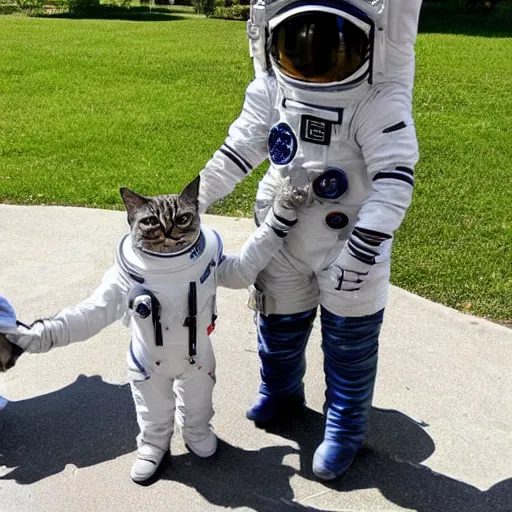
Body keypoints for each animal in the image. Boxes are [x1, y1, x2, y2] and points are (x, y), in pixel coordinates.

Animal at [2, 175, 308, 484]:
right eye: (151, 222)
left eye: (182, 218)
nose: (169, 232)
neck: (168, 266)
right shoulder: (118, 285)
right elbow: (90, 314)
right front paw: (35, 336)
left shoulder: (222, 268)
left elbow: (243, 269)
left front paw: (285, 206)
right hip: (144, 376)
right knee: (155, 418)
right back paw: (150, 456)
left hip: (200, 372)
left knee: (193, 407)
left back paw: (200, 439)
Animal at [198, 0, 422, 480]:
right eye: (300, 37)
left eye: (331, 37)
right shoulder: (262, 96)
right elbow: (242, 143)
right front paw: (199, 193)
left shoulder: (386, 109)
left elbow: (391, 174)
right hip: (284, 269)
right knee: (284, 315)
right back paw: (276, 403)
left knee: (349, 345)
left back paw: (339, 448)